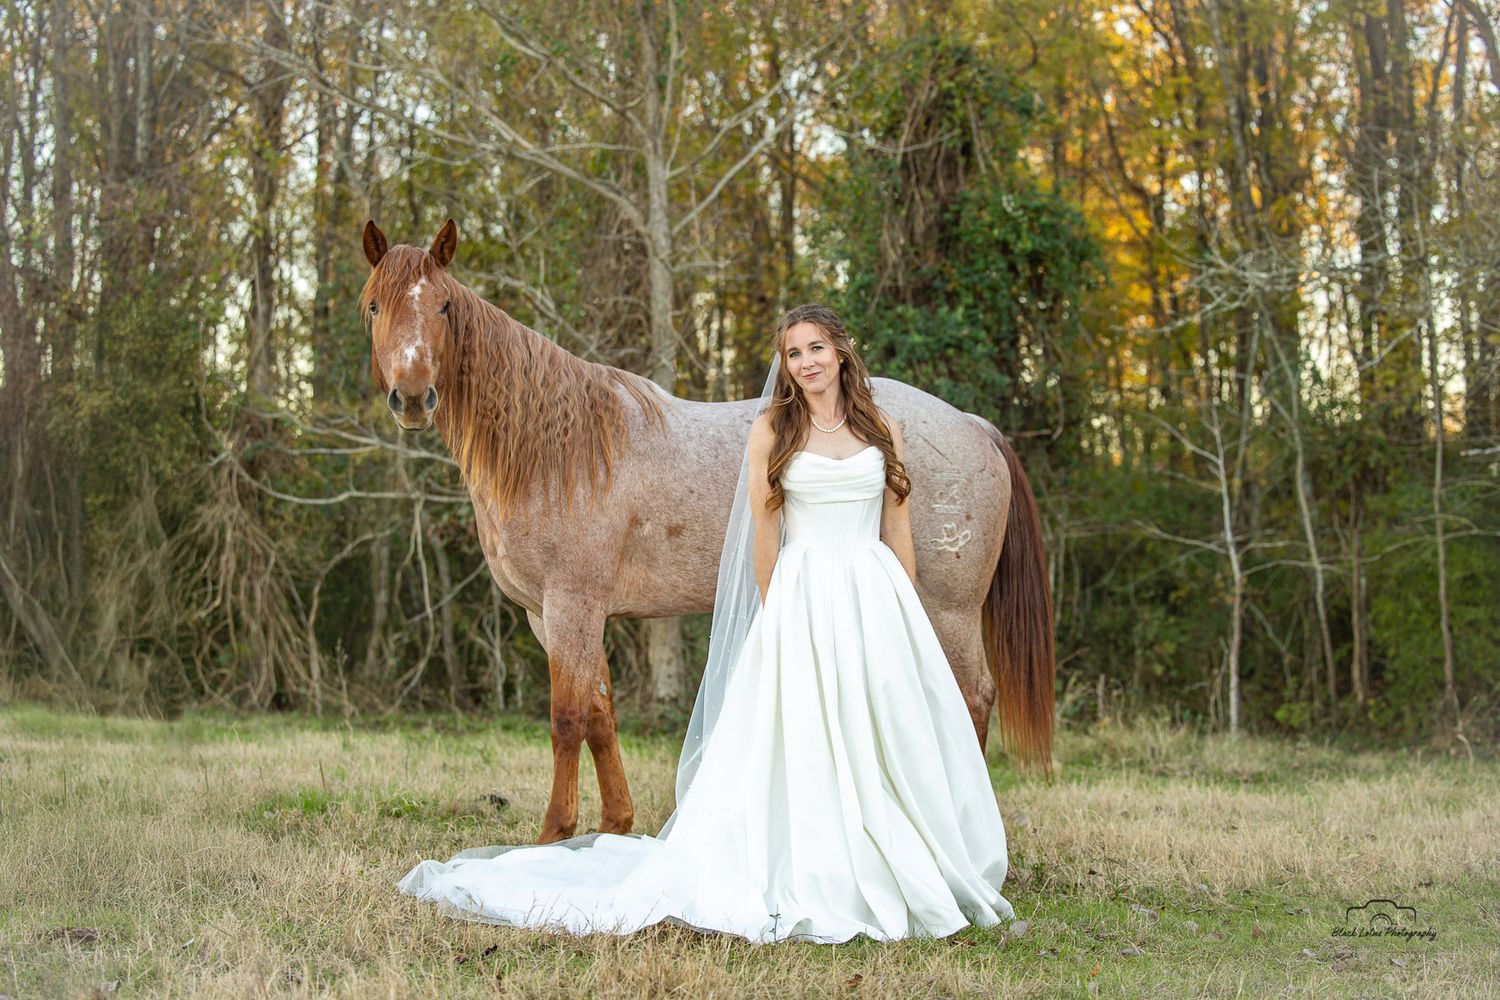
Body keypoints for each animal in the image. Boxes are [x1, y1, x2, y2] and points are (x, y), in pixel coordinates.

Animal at [360, 218, 1054, 844]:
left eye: (444, 306)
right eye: (373, 305)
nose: (413, 398)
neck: (559, 450)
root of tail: (973, 424)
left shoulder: (571, 603)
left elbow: (567, 717)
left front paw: (554, 834)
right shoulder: (551, 615)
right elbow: (601, 713)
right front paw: (613, 827)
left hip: (949, 609)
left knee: (971, 698)